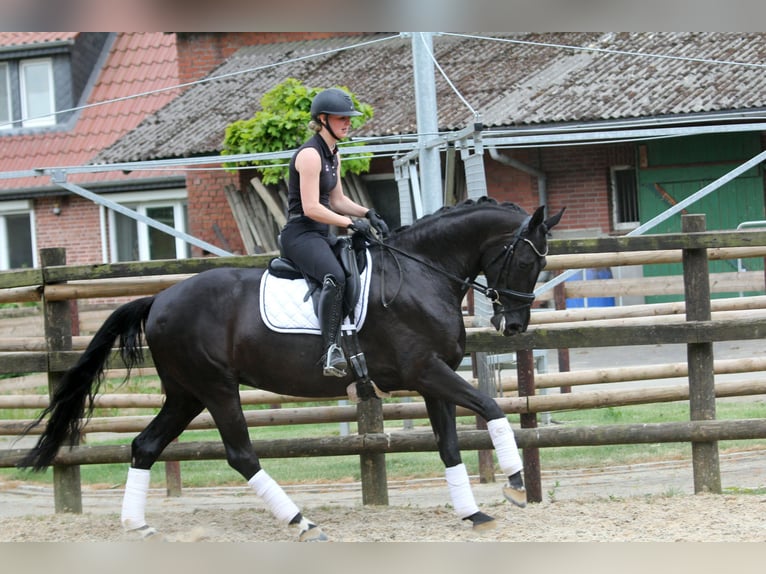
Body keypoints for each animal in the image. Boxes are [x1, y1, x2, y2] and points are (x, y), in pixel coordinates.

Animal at [19, 197, 564, 540]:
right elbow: (491, 406)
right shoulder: (426, 372)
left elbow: (449, 445)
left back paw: (138, 525)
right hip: (216, 389)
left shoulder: (433, 381)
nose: (514, 324)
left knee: (145, 446)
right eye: (525, 262)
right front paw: (516, 484)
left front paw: (473, 512)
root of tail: (159, 299)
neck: (421, 273)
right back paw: (301, 522)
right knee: (240, 454)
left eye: (539, 265)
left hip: (185, 393)